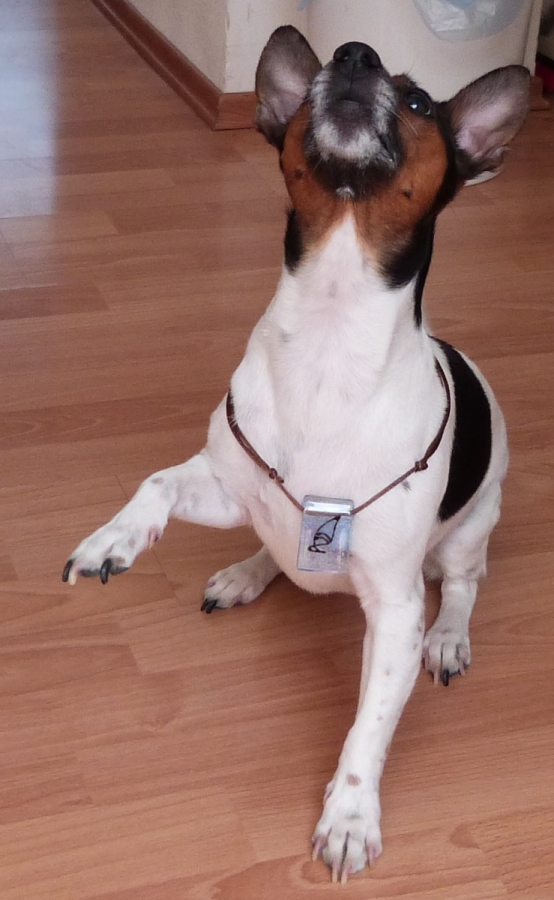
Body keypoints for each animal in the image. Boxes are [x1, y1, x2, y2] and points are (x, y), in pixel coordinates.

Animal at [62, 26, 529, 882]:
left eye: (420, 103)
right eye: (316, 79)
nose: (352, 52)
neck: (330, 327)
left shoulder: (395, 609)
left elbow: (367, 727)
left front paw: (349, 815)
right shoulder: (223, 484)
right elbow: (156, 482)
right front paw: (115, 539)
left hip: (472, 527)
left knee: (465, 583)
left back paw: (451, 637)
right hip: (264, 513)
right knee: (278, 547)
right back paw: (248, 573)